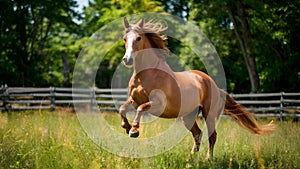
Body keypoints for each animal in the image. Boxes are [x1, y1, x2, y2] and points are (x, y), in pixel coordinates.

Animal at [119, 17, 274, 160]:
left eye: (138, 38)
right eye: (124, 38)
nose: (127, 60)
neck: (145, 75)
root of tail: (214, 85)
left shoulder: (158, 104)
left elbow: (140, 109)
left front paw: (134, 131)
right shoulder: (134, 100)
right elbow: (122, 109)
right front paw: (127, 128)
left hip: (208, 114)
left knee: (212, 135)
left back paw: (207, 159)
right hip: (188, 116)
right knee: (198, 134)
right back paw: (189, 159)